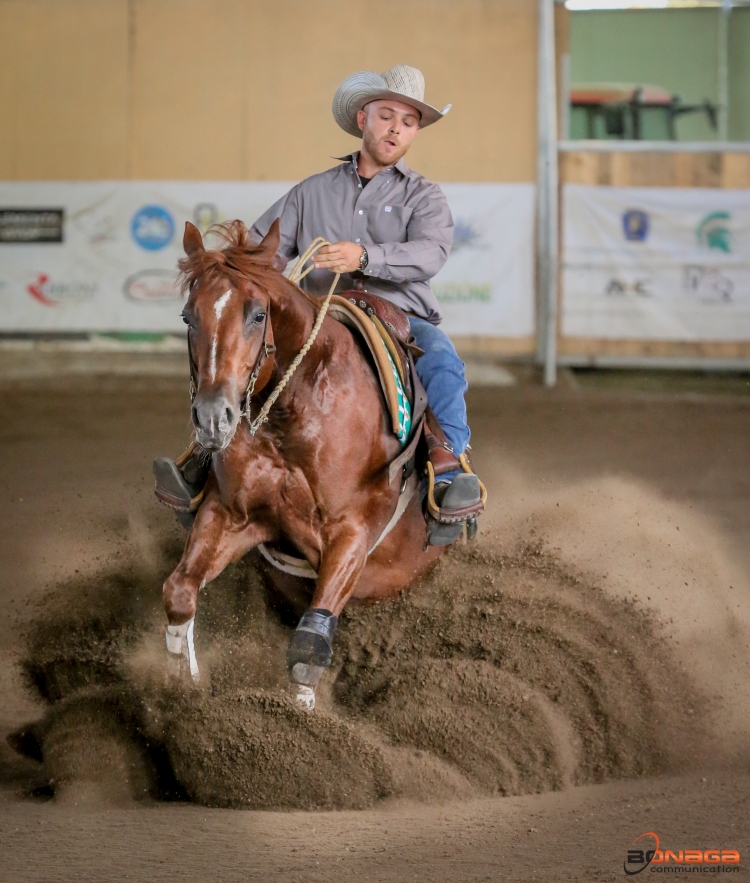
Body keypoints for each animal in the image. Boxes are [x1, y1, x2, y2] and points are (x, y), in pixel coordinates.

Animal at [164, 221, 446, 712]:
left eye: (258, 314)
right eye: (188, 317)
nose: (214, 417)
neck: (294, 412)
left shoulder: (350, 531)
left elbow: (309, 643)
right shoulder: (231, 514)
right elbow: (179, 591)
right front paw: (184, 685)